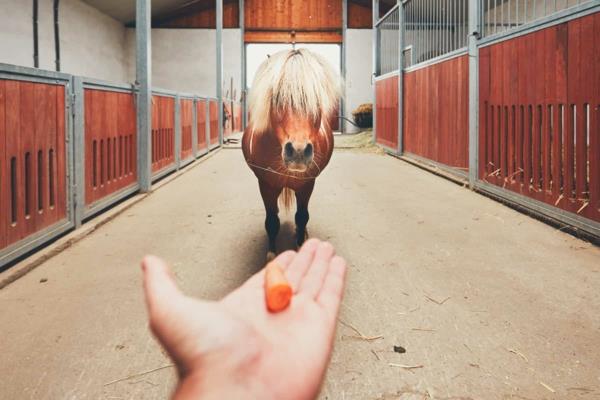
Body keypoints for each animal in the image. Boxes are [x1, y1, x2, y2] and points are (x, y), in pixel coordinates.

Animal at [240, 48, 342, 260]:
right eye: (277, 97)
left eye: (316, 99)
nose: (298, 151)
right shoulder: (266, 185)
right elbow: (272, 221)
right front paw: (272, 254)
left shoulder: (307, 185)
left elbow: (302, 217)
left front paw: (301, 244)